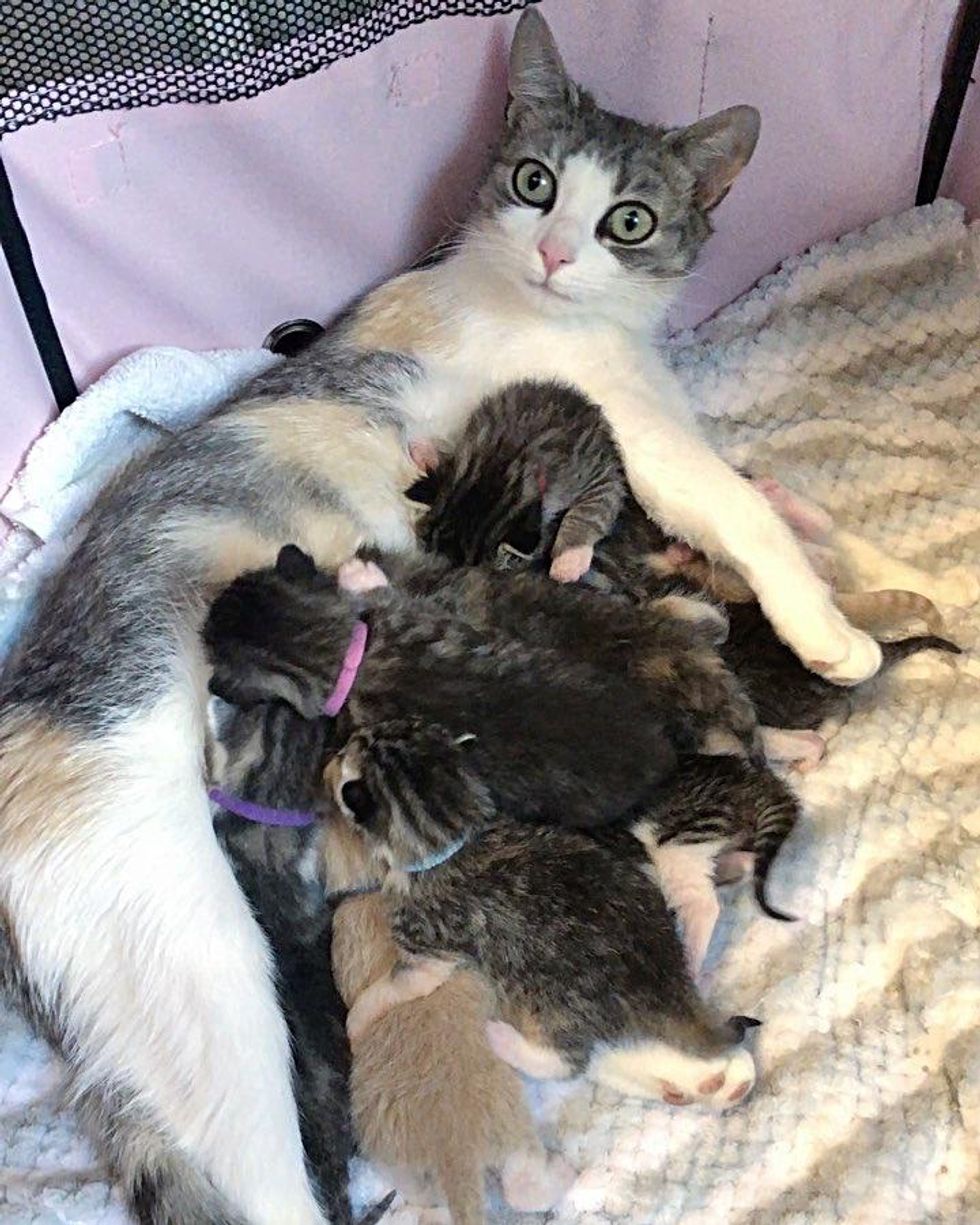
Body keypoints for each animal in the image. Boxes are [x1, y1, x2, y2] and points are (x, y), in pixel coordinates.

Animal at [0, 11, 882, 1225]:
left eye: (628, 218)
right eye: (532, 181)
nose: (555, 253)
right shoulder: (634, 437)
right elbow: (734, 502)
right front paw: (834, 633)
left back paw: (690, 1067)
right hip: (193, 957)